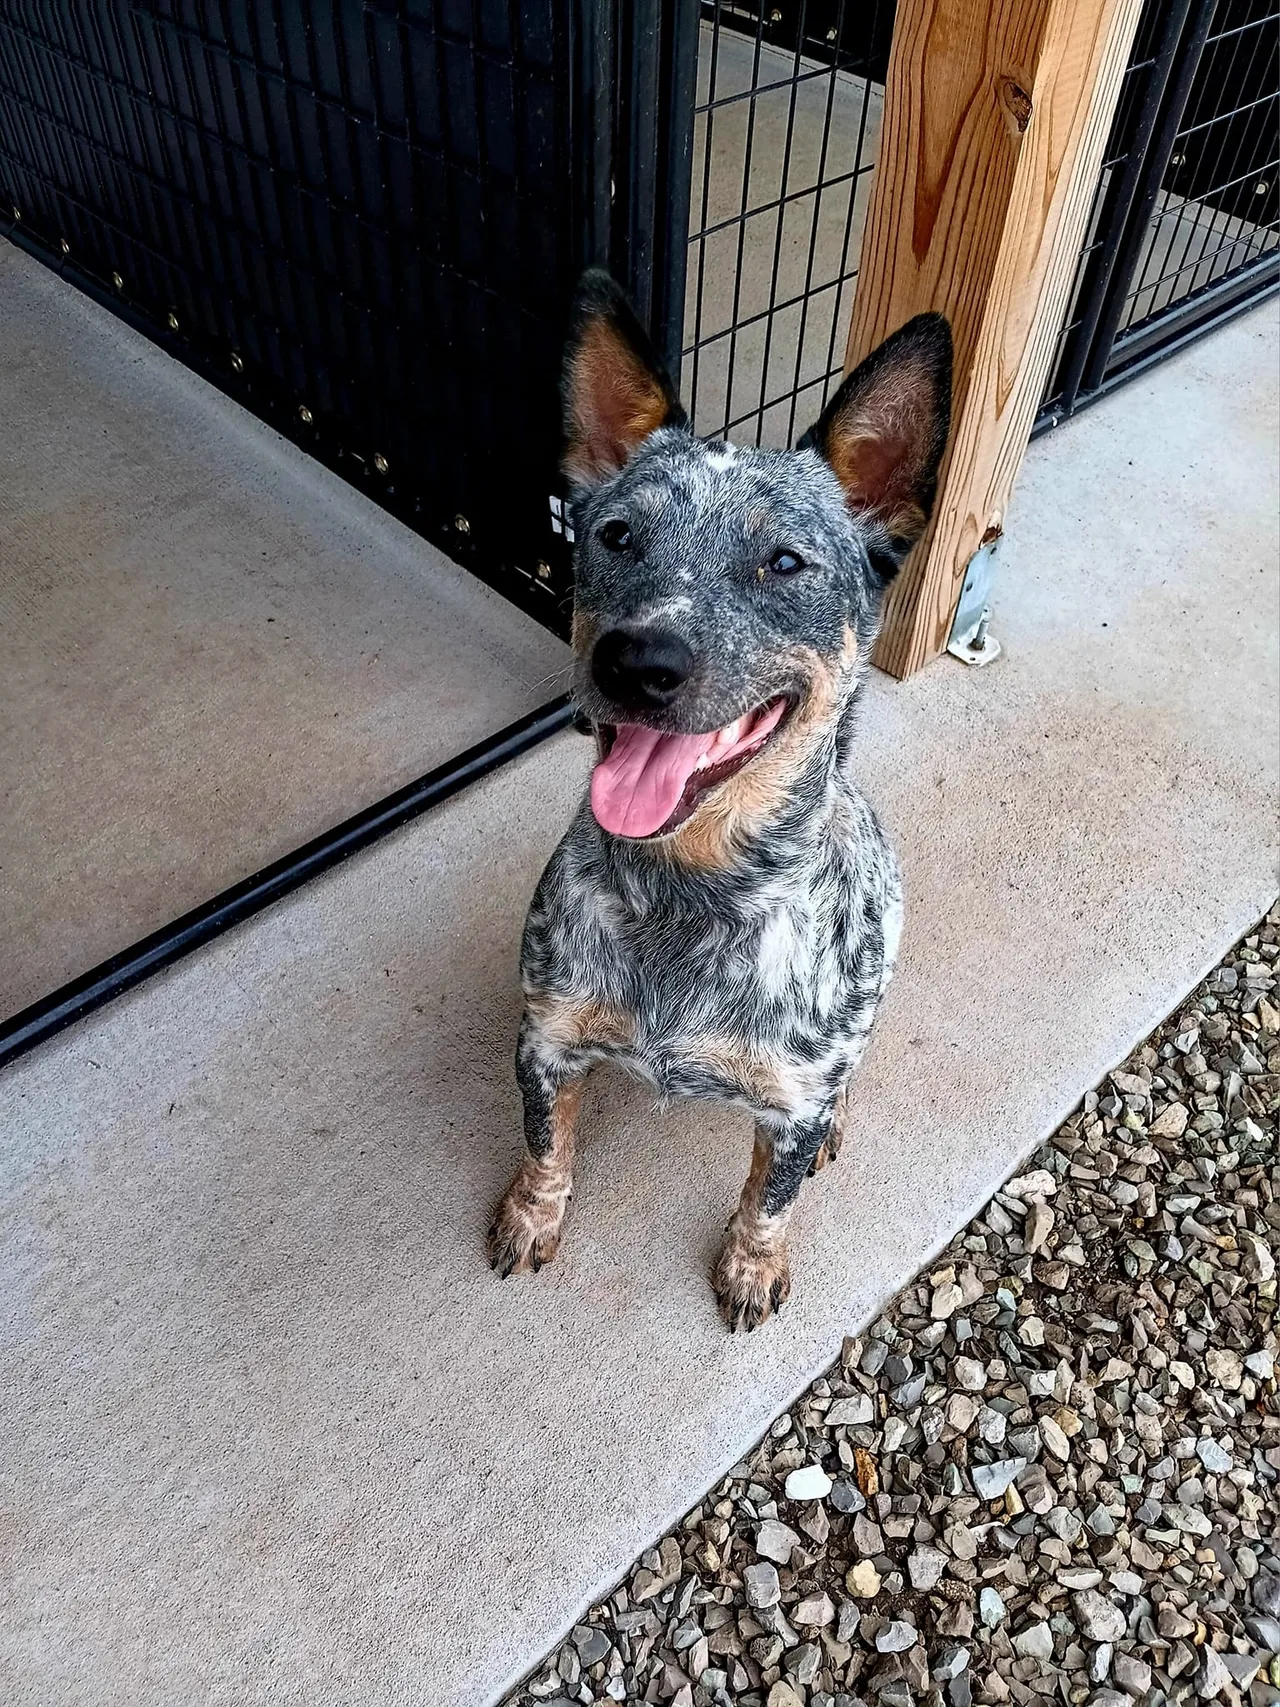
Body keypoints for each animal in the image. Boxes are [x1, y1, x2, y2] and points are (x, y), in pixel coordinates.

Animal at [491, 269, 955, 1331]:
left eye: (783, 561)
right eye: (617, 535)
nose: (637, 660)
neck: (688, 895)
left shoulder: (789, 1097)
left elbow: (766, 1197)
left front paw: (751, 1262)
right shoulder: (546, 1043)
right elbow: (545, 1146)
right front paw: (533, 1214)